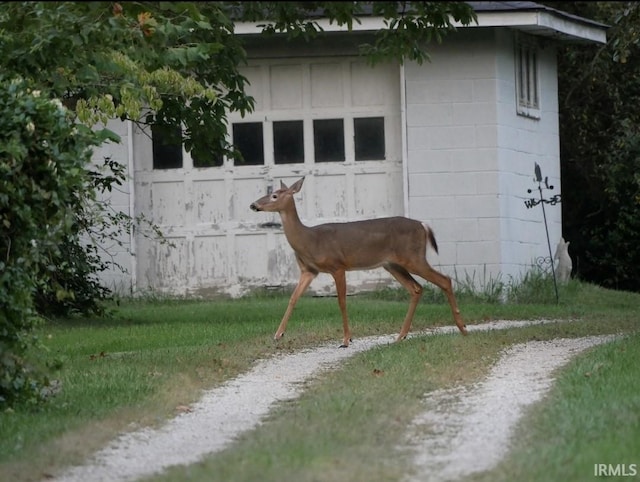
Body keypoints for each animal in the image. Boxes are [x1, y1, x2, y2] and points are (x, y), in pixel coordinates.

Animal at [249, 177, 464, 346]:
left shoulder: (337, 265)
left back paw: (462, 328)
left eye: (274, 195)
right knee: (416, 288)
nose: (253, 205)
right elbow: (293, 298)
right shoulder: (309, 271)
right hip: (393, 264)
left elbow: (342, 301)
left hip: (414, 257)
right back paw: (400, 336)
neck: (308, 240)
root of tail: (423, 225)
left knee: (444, 280)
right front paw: (278, 334)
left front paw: (346, 339)